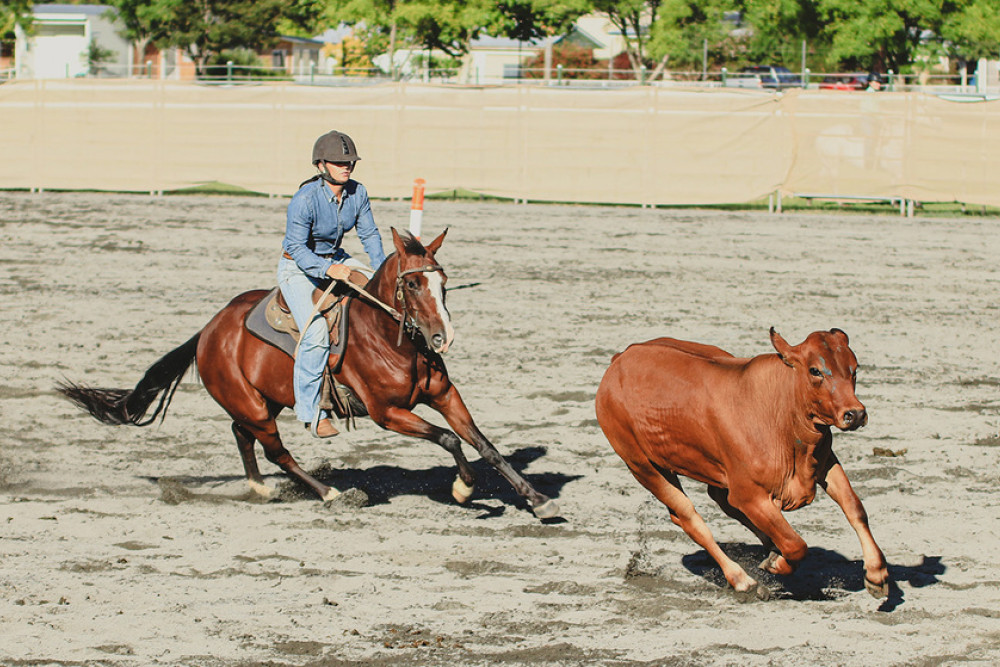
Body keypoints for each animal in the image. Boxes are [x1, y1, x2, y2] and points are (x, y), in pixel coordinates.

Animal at [60, 230, 564, 520]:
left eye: (443, 280)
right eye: (413, 282)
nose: (442, 338)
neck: (390, 337)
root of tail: (209, 330)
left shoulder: (444, 395)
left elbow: (484, 444)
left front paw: (537, 500)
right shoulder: (387, 413)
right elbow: (449, 440)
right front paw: (463, 488)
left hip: (263, 400)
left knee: (241, 435)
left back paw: (260, 489)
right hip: (254, 405)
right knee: (275, 450)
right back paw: (330, 494)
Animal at [592, 328, 892, 600]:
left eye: (854, 368)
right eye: (815, 370)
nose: (855, 414)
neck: (782, 414)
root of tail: (621, 358)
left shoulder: (825, 462)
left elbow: (855, 509)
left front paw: (876, 574)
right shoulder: (749, 493)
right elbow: (795, 544)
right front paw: (777, 563)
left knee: (722, 503)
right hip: (642, 465)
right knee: (688, 516)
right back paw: (741, 579)